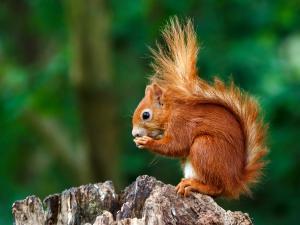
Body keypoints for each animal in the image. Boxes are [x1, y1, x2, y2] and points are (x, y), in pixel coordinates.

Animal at [131, 17, 268, 198]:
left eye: (146, 115)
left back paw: (194, 185)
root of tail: (234, 182)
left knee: (217, 188)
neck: (171, 112)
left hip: (205, 148)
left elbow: (176, 145)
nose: (134, 134)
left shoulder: (181, 123)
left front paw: (147, 142)